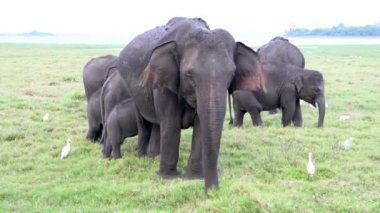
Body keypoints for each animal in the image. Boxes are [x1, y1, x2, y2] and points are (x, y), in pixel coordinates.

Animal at [118, 17, 264, 191]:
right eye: (189, 74)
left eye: (232, 74)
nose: (213, 191)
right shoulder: (164, 83)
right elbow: (171, 124)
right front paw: (168, 178)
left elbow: (200, 126)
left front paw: (193, 178)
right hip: (134, 91)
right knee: (144, 122)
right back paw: (143, 157)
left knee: (157, 124)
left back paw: (154, 156)